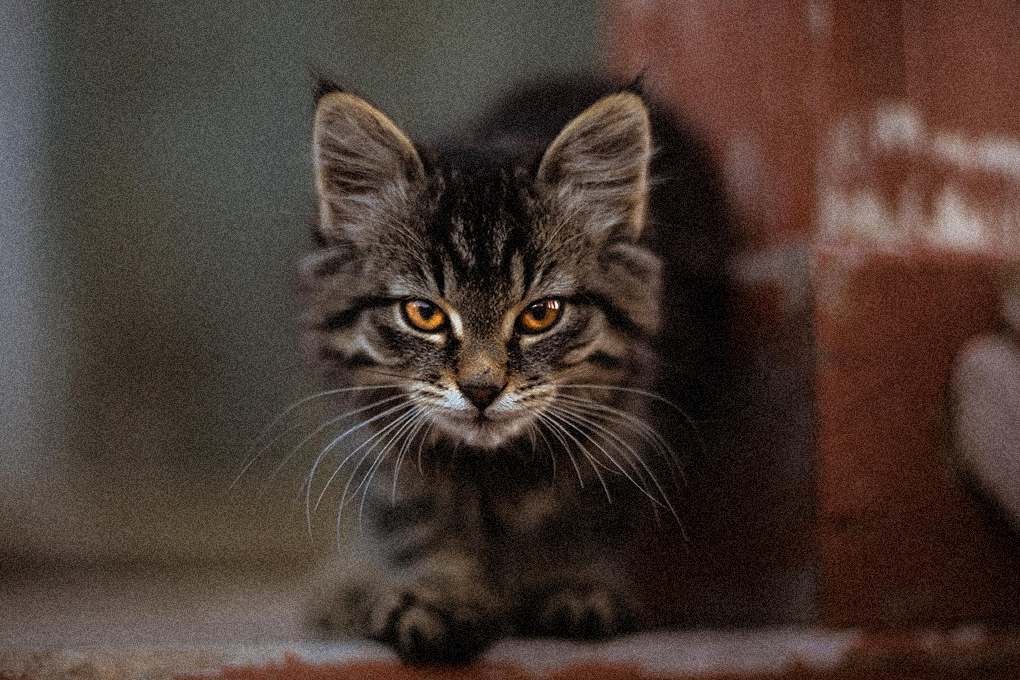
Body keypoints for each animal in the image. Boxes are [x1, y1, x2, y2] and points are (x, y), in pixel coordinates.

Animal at [295, 75, 734, 664]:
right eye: (424, 313)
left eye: (540, 314)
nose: (481, 389)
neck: (493, 471)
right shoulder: (381, 439)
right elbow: (421, 523)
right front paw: (442, 595)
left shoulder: (628, 427)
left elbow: (582, 515)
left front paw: (570, 585)